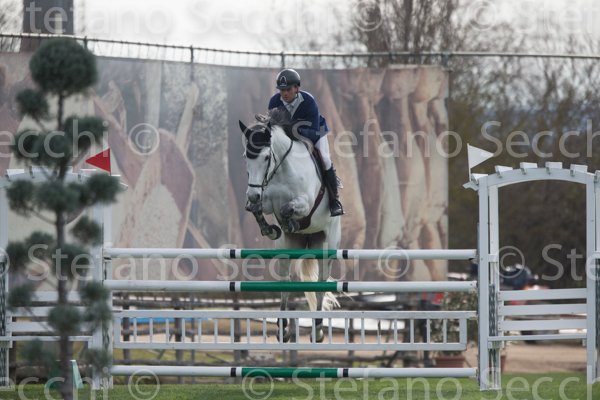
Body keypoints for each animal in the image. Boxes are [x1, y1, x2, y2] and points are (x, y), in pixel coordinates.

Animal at [238, 111, 340, 342]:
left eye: (266, 158)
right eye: (246, 157)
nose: (252, 194)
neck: (281, 169)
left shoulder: (305, 202)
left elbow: (288, 208)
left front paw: (289, 222)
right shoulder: (267, 200)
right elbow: (257, 209)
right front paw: (270, 229)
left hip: (326, 246)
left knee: (321, 285)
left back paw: (318, 330)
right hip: (287, 249)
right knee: (285, 283)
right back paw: (283, 328)